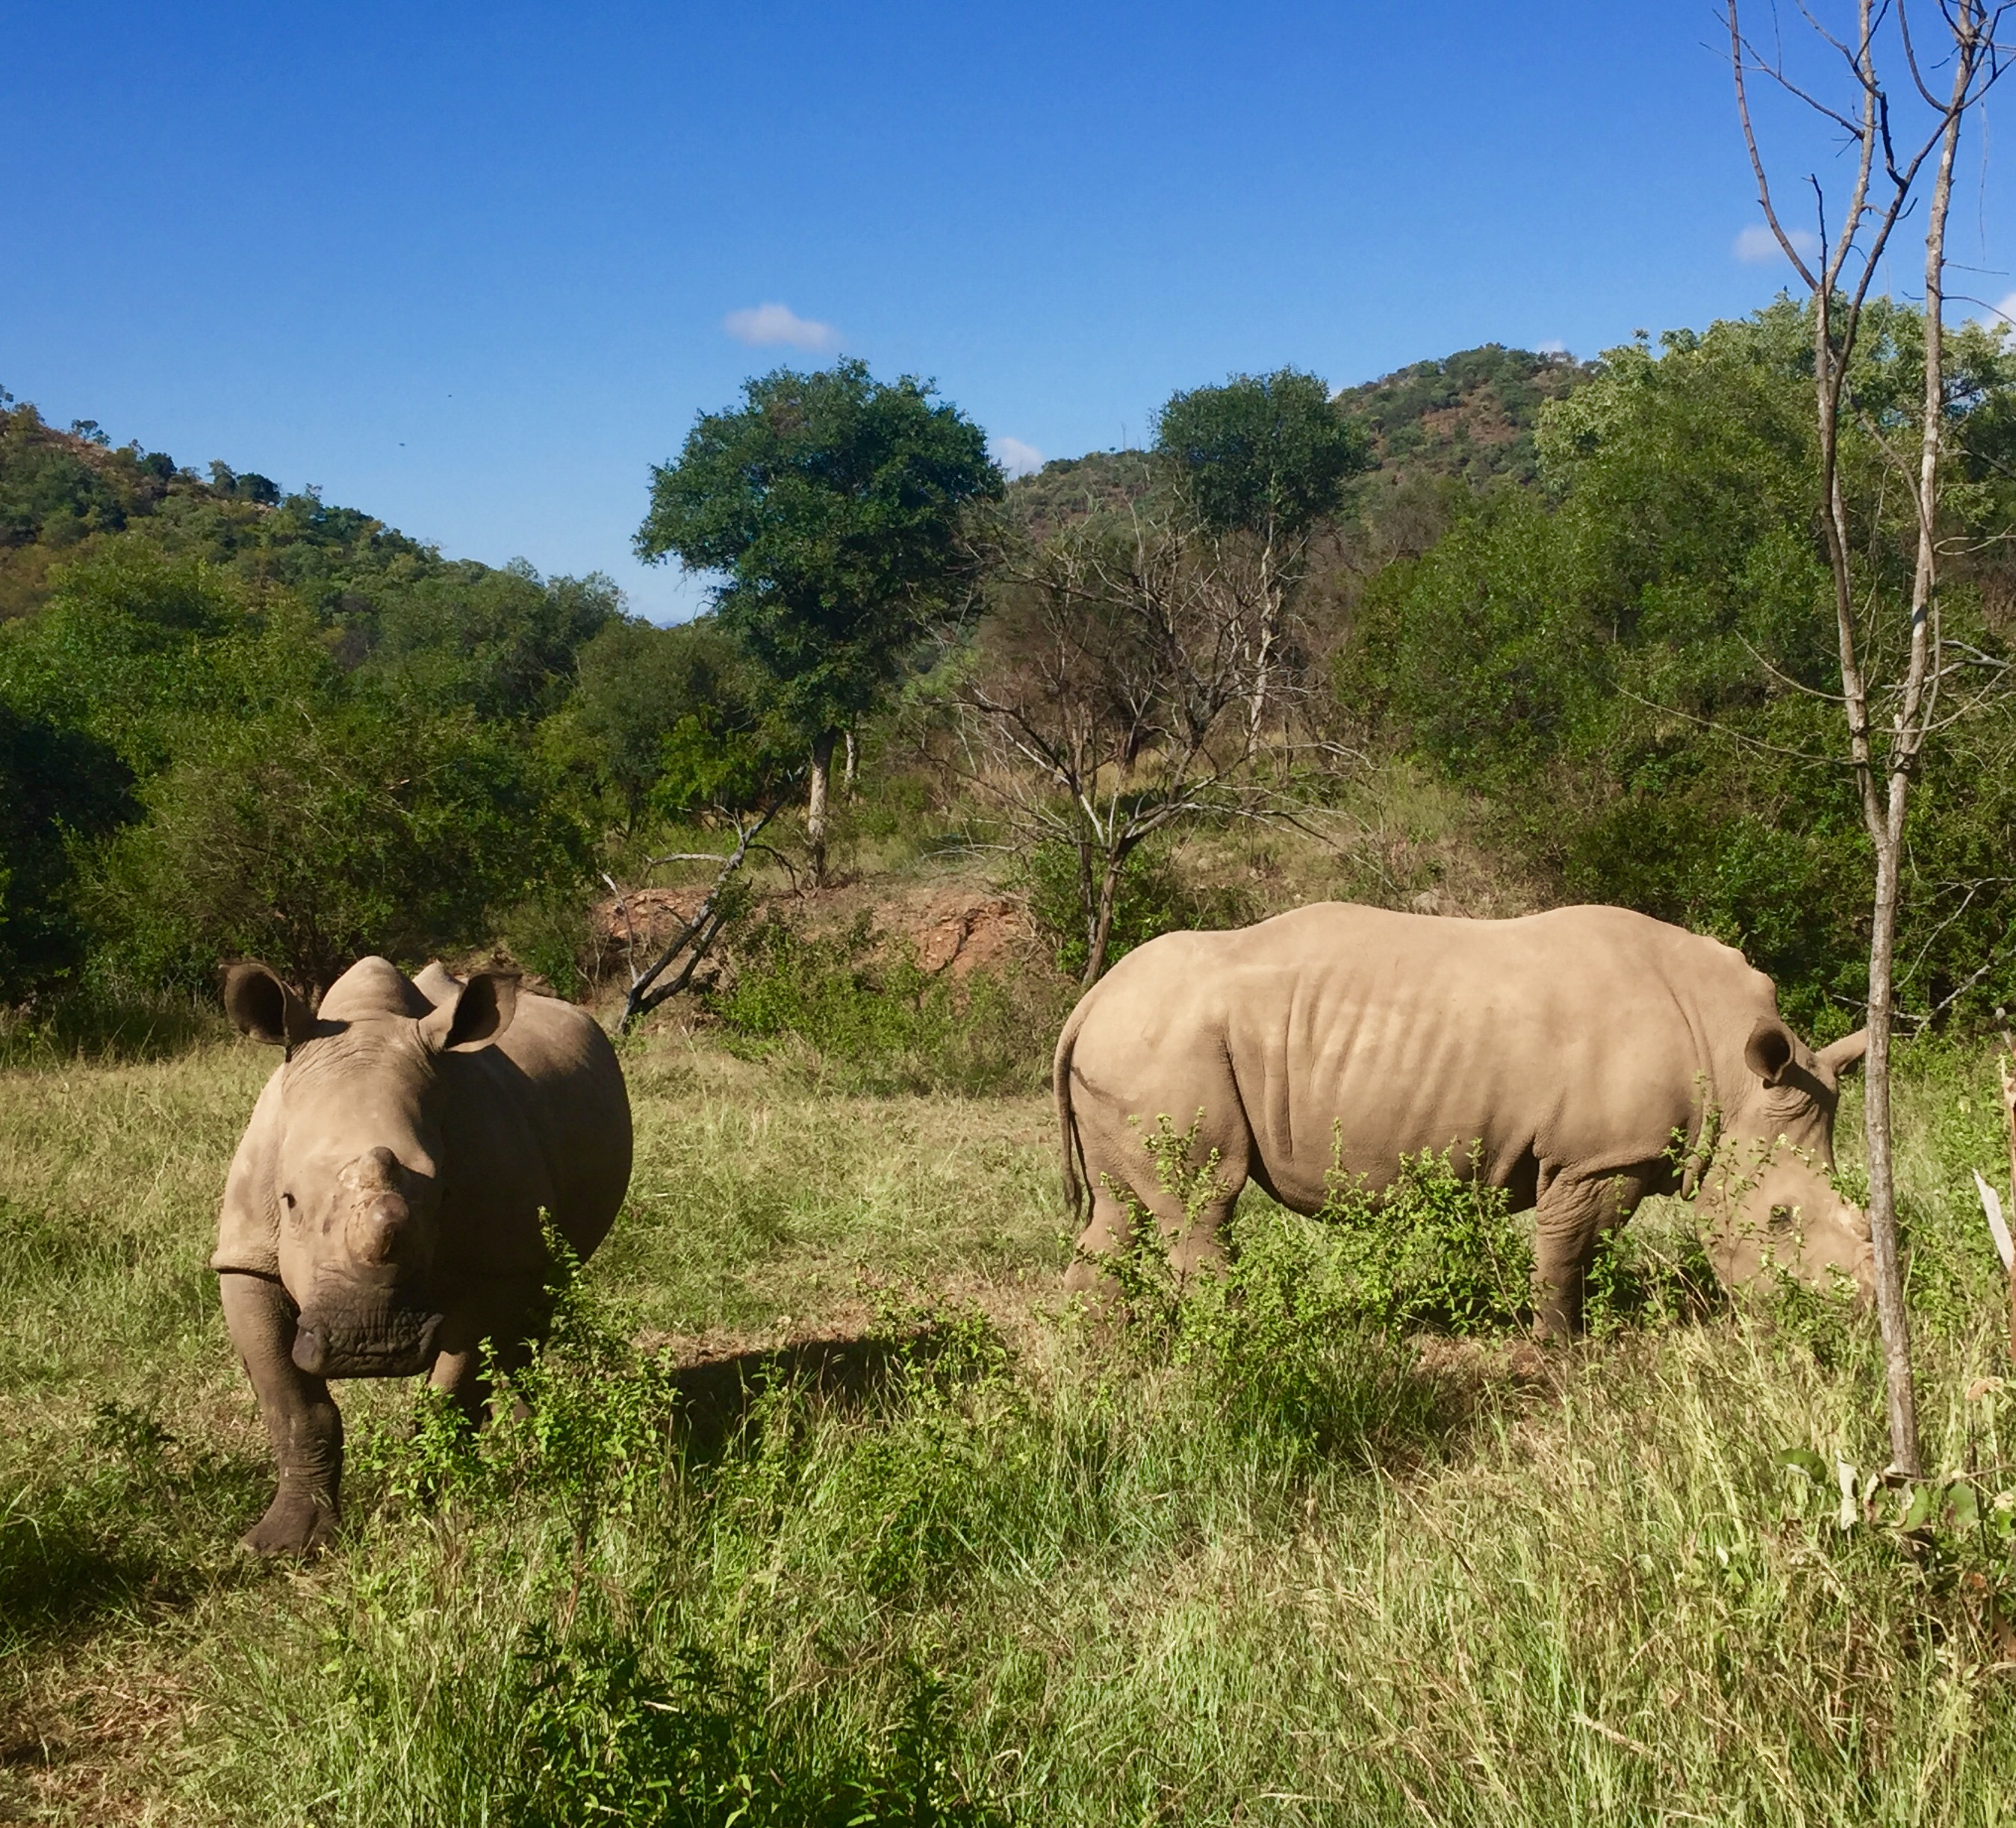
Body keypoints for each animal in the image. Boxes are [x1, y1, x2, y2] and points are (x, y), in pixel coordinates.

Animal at [212, 959, 629, 1555]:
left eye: (444, 1197)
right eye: (288, 1200)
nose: (370, 1346)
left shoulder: (494, 1262)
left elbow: (451, 1392)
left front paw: (429, 1513)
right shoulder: (246, 1257)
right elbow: (293, 1405)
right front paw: (281, 1545)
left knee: (539, 1297)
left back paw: (531, 1438)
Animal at [1056, 907, 1870, 1338]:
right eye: (1781, 1220)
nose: (1842, 1319)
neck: (1729, 1065)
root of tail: (1092, 999)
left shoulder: (1604, 1155)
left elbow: (1578, 1251)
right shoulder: (1599, 1156)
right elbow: (1567, 1251)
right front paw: (1556, 1348)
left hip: (1128, 1048)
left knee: (1119, 1212)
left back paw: (1094, 1355)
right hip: (1161, 1046)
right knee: (1200, 1206)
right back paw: (1242, 1343)